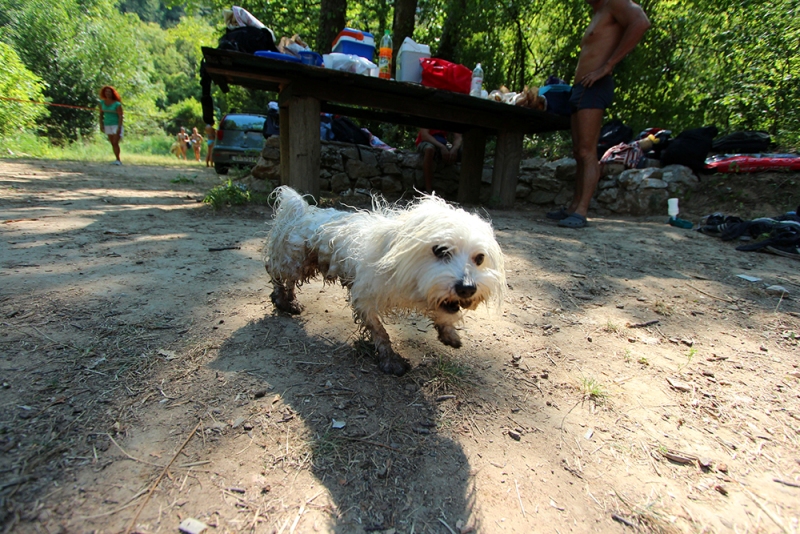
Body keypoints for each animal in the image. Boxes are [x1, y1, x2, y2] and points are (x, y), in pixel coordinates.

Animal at [268, 187, 506, 376]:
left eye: (480, 258)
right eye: (440, 250)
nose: (467, 288)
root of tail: (302, 211)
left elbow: (443, 311)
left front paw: (448, 332)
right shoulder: (365, 299)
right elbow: (380, 332)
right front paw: (391, 360)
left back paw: (291, 301)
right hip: (295, 263)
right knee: (277, 275)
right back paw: (282, 300)